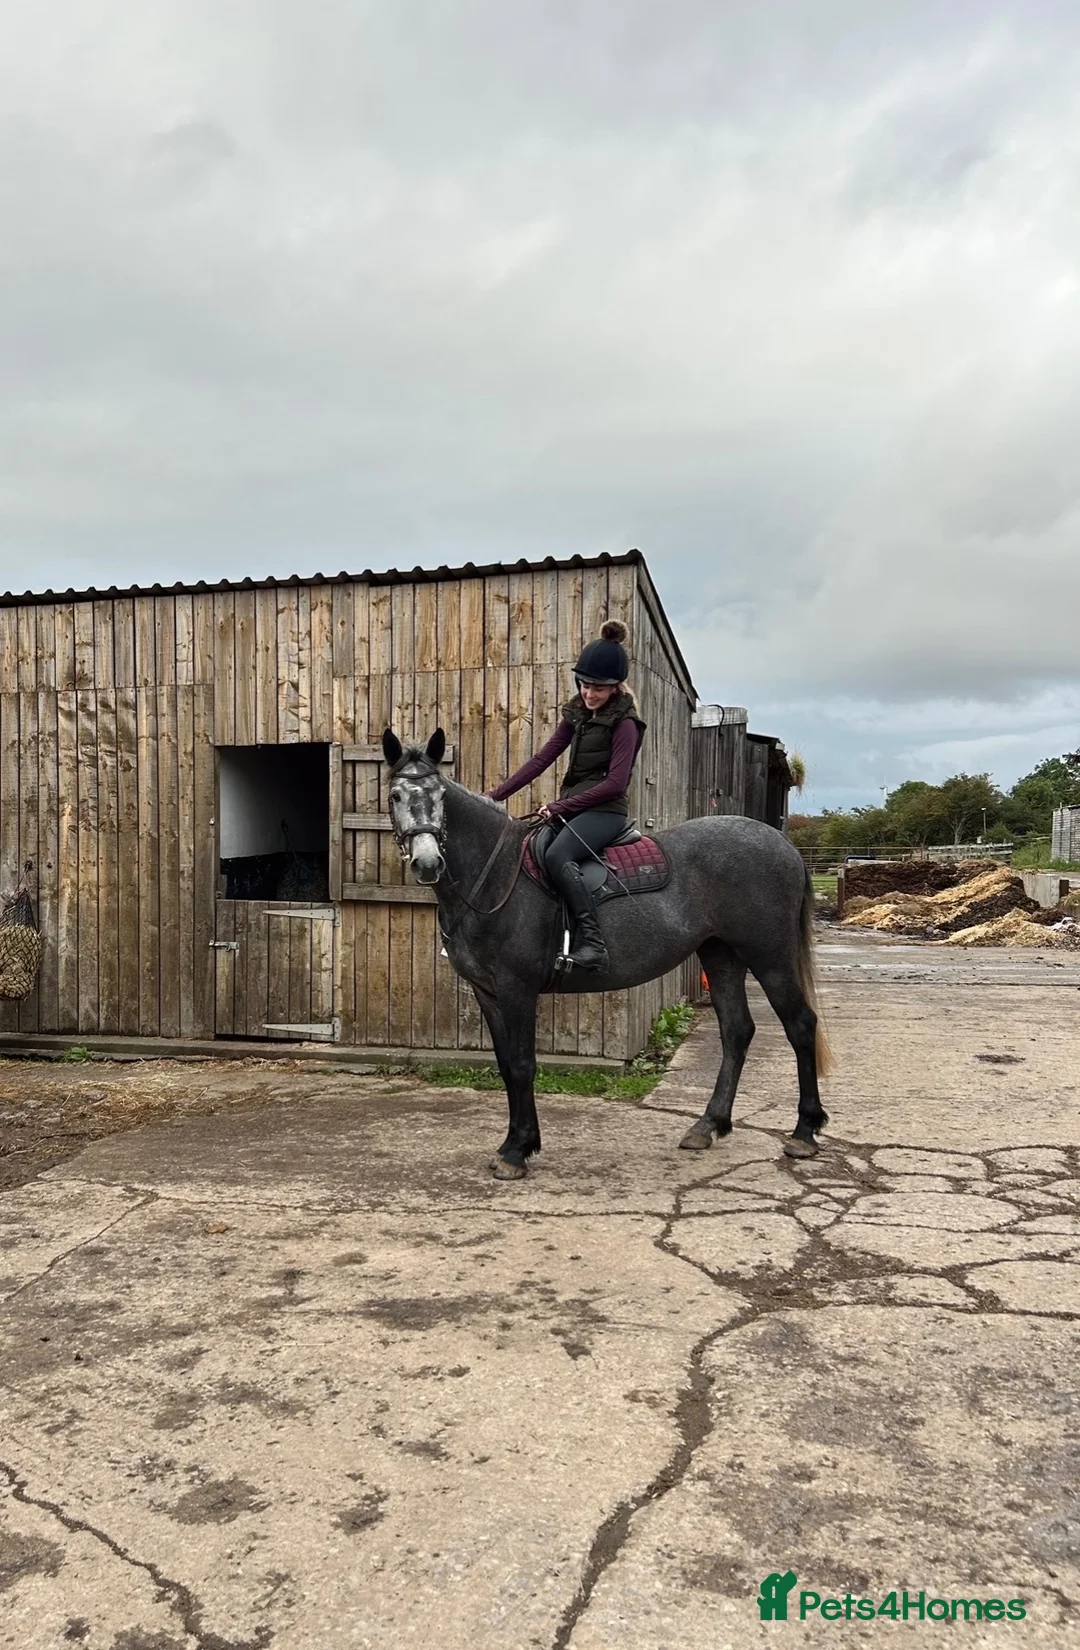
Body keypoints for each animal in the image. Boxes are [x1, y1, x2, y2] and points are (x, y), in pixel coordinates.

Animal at [381, 728, 832, 1180]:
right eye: (396, 795)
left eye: (440, 795)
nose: (427, 862)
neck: (496, 876)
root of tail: (782, 844)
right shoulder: (487, 993)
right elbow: (508, 1066)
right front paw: (514, 1143)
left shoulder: (517, 989)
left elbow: (524, 1064)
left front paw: (518, 1150)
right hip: (720, 955)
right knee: (737, 1031)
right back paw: (708, 1125)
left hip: (769, 956)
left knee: (800, 1024)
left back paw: (804, 1131)